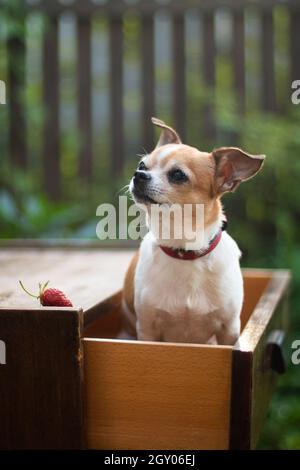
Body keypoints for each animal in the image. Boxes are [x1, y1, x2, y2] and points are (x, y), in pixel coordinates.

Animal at [120, 117, 264, 346]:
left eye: (178, 175)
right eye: (142, 165)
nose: (138, 174)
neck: (185, 252)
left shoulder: (229, 332)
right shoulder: (148, 331)